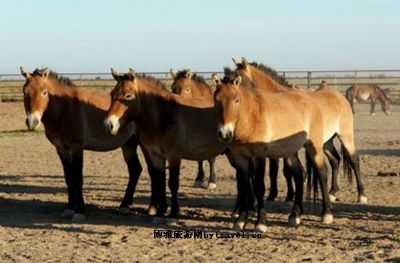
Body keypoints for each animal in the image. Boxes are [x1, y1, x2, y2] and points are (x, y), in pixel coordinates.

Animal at [19, 67, 146, 222]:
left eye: (44, 92)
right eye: (25, 91)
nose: (32, 122)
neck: (66, 108)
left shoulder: (77, 148)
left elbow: (78, 178)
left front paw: (80, 211)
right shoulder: (61, 149)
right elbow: (69, 178)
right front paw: (69, 208)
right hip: (128, 143)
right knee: (135, 170)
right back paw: (124, 206)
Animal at [104, 68, 228, 223]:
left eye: (128, 96)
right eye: (112, 94)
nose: (109, 124)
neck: (164, 116)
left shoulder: (174, 156)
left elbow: (172, 183)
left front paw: (173, 214)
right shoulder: (156, 156)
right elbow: (160, 181)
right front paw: (160, 212)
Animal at [212, 71, 362, 231]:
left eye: (237, 100)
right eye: (216, 100)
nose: (225, 133)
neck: (252, 116)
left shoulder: (259, 156)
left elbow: (259, 186)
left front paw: (261, 223)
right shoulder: (240, 159)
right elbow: (245, 186)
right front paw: (240, 220)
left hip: (319, 145)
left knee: (324, 171)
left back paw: (328, 213)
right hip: (292, 152)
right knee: (301, 174)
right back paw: (295, 216)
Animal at [231, 58, 366, 206]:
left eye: (238, 78)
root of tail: (340, 96)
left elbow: (288, 171)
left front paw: (290, 197)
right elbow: (279, 171)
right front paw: (278, 196)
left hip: (345, 136)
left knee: (354, 159)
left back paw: (361, 195)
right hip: (326, 142)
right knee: (335, 160)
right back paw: (332, 193)